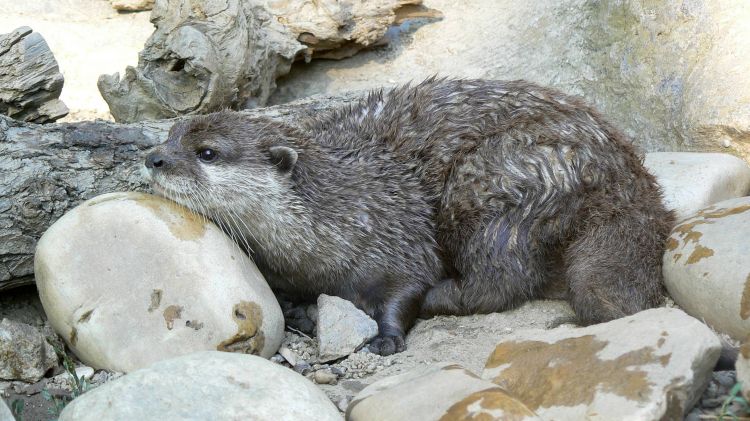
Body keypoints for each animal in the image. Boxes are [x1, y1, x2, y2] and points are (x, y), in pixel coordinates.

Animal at [144, 78, 680, 354]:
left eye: (207, 152)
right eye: (171, 135)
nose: (154, 159)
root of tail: (623, 168)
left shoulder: (397, 232)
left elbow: (406, 287)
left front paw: (386, 336)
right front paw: (299, 309)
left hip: (494, 181)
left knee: (500, 279)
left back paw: (444, 295)